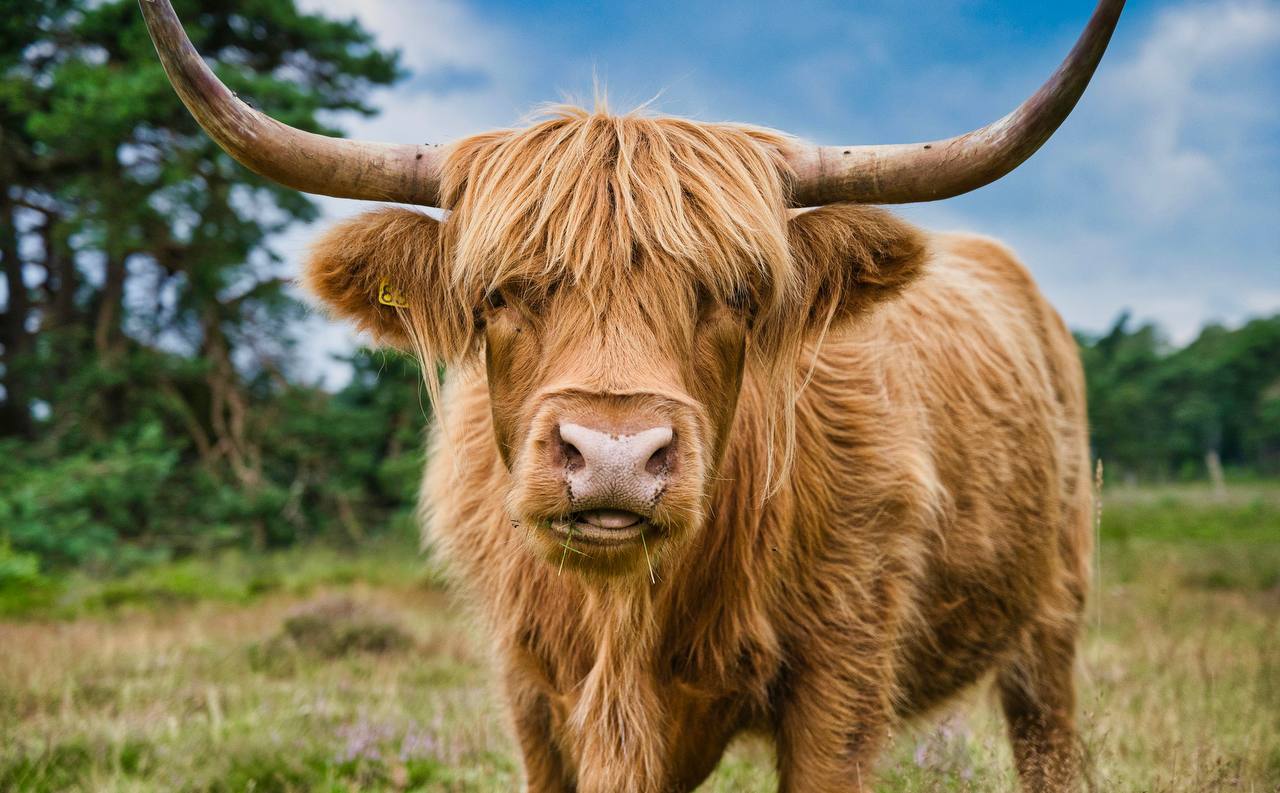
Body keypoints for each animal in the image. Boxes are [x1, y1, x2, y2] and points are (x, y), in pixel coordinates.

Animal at [140, 0, 1124, 790]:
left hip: (1052, 621)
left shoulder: (842, 673)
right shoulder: (533, 689)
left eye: (738, 292)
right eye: (498, 293)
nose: (614, 456)